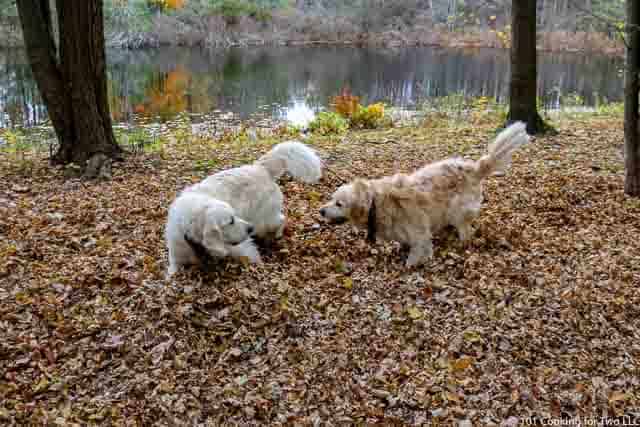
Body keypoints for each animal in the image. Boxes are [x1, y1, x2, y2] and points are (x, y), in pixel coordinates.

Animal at [166, 140, 322, 274]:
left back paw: (277, 235)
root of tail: (260, 168)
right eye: (230, 221)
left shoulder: (242, 247)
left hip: (263, 220)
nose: (249, 229)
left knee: (281, 219)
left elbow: (251, 256)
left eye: (234, 217)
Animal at [320, 122, 528, 266]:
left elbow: (417, 252)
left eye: (339, 204)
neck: (375, 204)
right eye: (331, 199)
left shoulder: (419, 233)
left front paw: (412, 264)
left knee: (466, 231)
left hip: (458, 210)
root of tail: (474, 168)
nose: (321, 211)